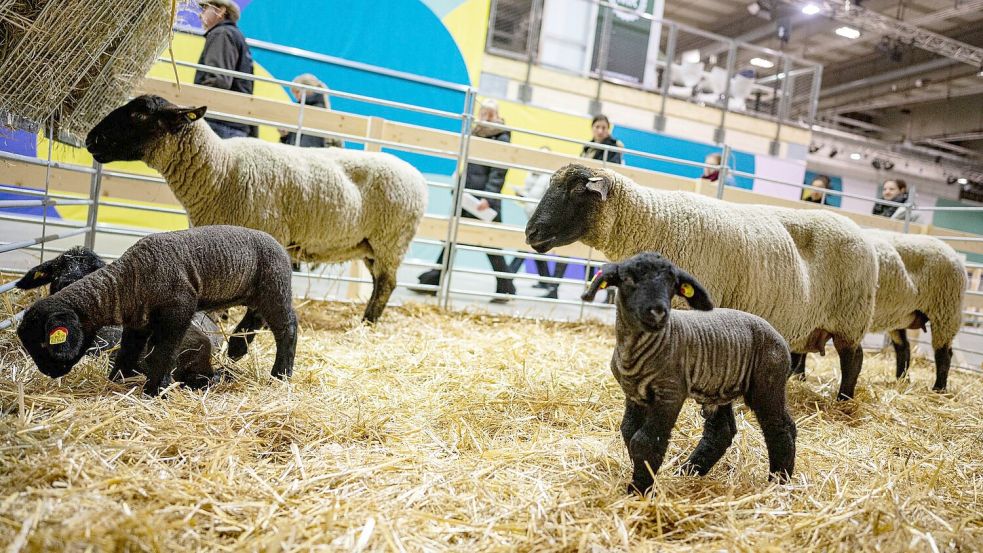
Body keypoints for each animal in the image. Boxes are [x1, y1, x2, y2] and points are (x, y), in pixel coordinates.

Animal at [16, 226, 296, 394]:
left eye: (45, 343)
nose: (50, 373)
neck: (127, 282)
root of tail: (281, 248)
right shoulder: (138, 323)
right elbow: (128, 352)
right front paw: (117, 379)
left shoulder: (179, 310)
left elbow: (164, 352)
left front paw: (154, 390)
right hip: (258, 292)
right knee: (256, 317)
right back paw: (238, 349)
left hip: (275, 287)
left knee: (287, 327)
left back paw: (281, 374)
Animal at [88, 92, 430, 322]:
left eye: (139, 115)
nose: (92, 139)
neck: (220, 170)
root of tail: (418, 177)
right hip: (372, 245)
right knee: (379, 282)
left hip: (390, 240)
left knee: (387, 284)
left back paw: (367, 322)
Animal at [528, 164, 880, 402]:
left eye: (576, 190)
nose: (531, 233)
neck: (651, 220)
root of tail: (861, 232)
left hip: (850, 317)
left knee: (854, 360)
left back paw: (844, 401)